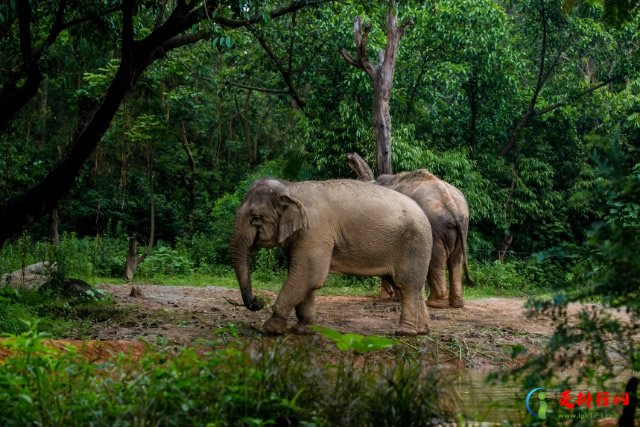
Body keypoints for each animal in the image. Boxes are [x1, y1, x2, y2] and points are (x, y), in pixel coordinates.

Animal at [228, 179, 432, 336]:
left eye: (256, 218)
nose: (259, 301)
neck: (290, 188)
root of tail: (424, 214)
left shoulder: (315, 232)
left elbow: (309, 275)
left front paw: (270, 329)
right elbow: (305, 278)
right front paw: (302, 329)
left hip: (413, 245)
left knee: (407, 285)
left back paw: (404, 332)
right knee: (413, 286)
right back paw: (421, 331)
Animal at [348, 152, 472, 310]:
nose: (350, 156)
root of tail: (452, 205)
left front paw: (396, 296)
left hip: (436, 226)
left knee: (437, 258)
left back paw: (434, 304)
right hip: (463, 225)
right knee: (456, 259)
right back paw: (456, 304)